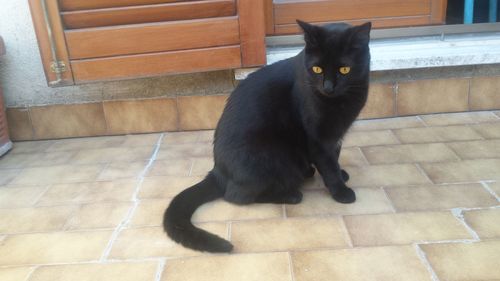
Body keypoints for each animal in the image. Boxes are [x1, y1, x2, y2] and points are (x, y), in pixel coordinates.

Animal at [164, 19, 372, 252]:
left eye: (344, 69)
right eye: (317, 69)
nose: (328, 87)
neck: (340, 101)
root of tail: (218, 171)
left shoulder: (335, 135)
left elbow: (334, 158)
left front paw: (341, 174)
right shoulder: (318, 139)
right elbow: (328, 165)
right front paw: (340, 191)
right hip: (273, 156)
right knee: (236, 196)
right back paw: (291, 195)